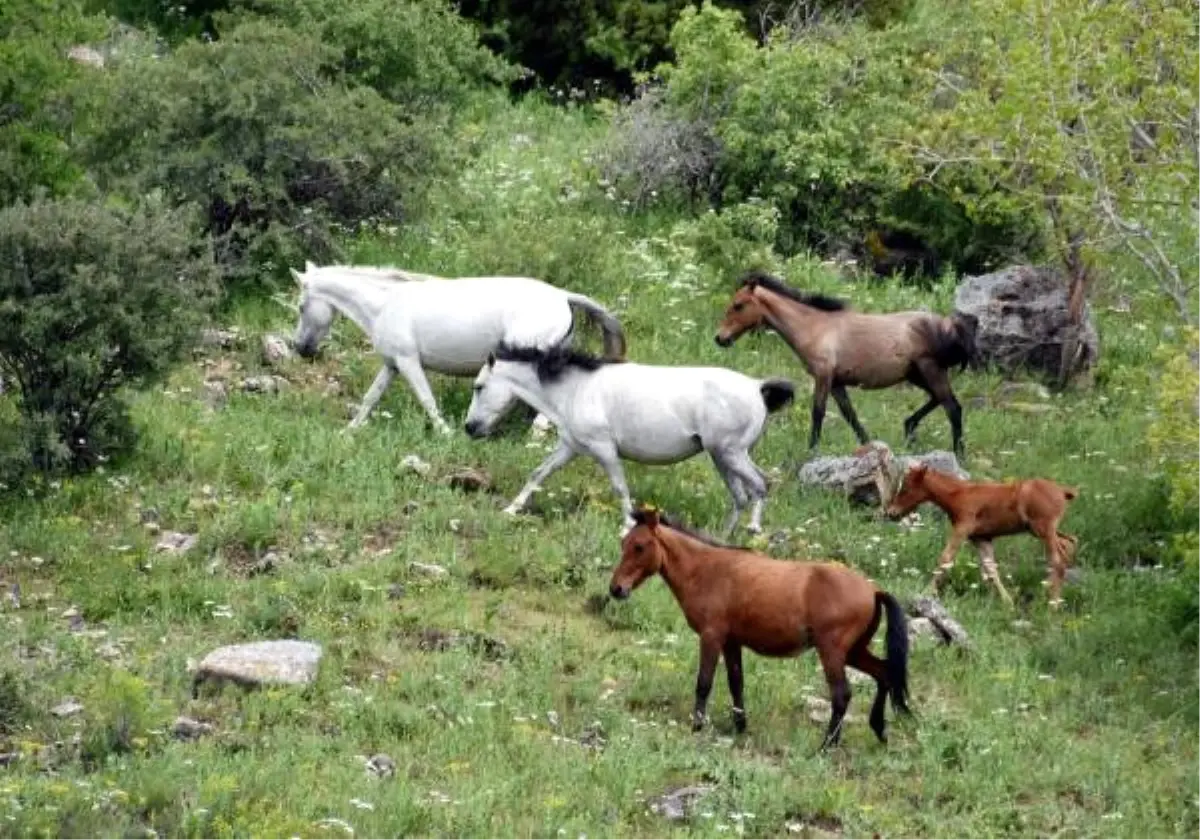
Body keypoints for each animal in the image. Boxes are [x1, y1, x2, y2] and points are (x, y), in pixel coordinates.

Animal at [290, 260, 628, 432]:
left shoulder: (408, 362)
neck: (386, 304)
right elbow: (370, 398)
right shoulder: (392, 364)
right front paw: (349, 431)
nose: (300, 349)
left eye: (301, 307)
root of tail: (563, 296)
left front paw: (445, 433)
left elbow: (426, 400)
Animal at [460, 345, 796, 535]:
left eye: (479, 386)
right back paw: (723, 538)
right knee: (741, 495)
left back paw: (753, 528)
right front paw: (511, 510)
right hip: (722, 457)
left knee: (760, 485)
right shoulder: (570, 447)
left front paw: (626, 527)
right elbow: (538, 474)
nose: (470, 428)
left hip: (731, 453)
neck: (576, 389)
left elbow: (620, 487)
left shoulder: (604, 450)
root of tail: (757, 388)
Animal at [609, 506, 907, 748]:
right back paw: (878, 731)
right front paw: (740, 726)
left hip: (832, 652)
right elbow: (736, 683)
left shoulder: (711, 637)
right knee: (884, 674)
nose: (616, 589)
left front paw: (697, 726)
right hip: (854, 652)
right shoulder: (731, 642)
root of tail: (873, 590)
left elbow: (704, 683)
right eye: (624, 543)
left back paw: (827, 745)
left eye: (639, 546)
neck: (707, 570)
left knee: (842, 695)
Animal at [710, 271, 974, 456]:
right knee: (939, 400)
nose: (720, 338)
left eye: (738, 305)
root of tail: (949, 325)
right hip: (917, 374)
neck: (815, 327)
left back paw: (959, 455)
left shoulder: (823, 376)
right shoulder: (837, 383)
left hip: (930, 370)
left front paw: (811, 452)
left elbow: (818, 413)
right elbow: (851, 415)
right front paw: (870, 446)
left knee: (952, 407)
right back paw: (909, 429)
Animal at [883, 463, 1080, 607]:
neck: (958, 494)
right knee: (1070, 542)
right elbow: (990, 568)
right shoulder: (981, 538)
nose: (891, 512)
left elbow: (945, 558)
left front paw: (926, 592)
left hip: (1043, 528)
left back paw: (1053, 603)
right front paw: (1008, 602)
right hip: (1041, 530)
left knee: (1057, 559)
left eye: (905, 488)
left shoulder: (963, 528)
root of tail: (1063, 491)